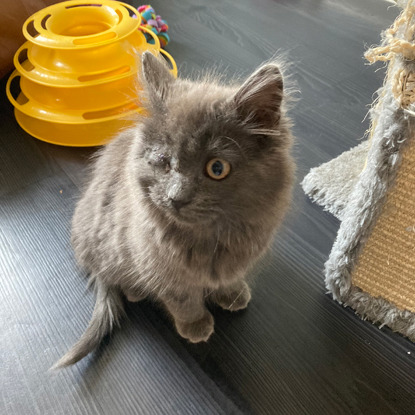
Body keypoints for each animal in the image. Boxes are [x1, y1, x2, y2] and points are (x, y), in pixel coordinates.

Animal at [54, 51, 296, 368]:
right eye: (163, 161)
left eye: (217, 168)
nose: (176, 198)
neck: (209, 239)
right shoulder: (157, 263)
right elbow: (182, 299)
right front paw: (195, 325)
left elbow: (228, 279)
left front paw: (232, 294)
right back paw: (134, 290)